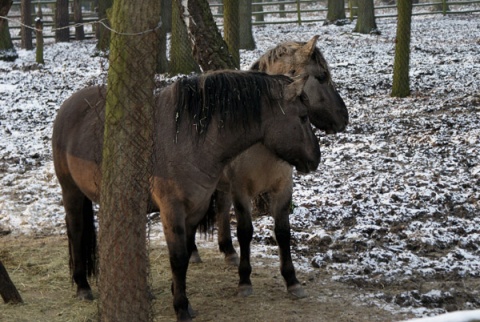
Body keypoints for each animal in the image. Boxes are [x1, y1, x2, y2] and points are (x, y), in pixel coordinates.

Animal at [51, 70, 318, 322]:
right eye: (303, 117)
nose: (316, 158)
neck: (189, 140)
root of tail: (68, 105)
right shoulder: (173, 210)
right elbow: (178, 257)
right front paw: (180, 308)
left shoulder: (195, 209)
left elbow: (187, 255)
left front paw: (182, 299)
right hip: (71, 190)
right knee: (76, 231)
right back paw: (82, 286)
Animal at [191, 36, 348, 298]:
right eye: (322, 76)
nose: (343, 118)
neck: (262, 143)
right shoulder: (241, 191)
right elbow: (245, 231)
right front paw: (245, 280)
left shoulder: (283, 188)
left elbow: (283, 232)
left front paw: (292, 280)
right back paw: (193, 251)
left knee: (221, 209)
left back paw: (228, 251)